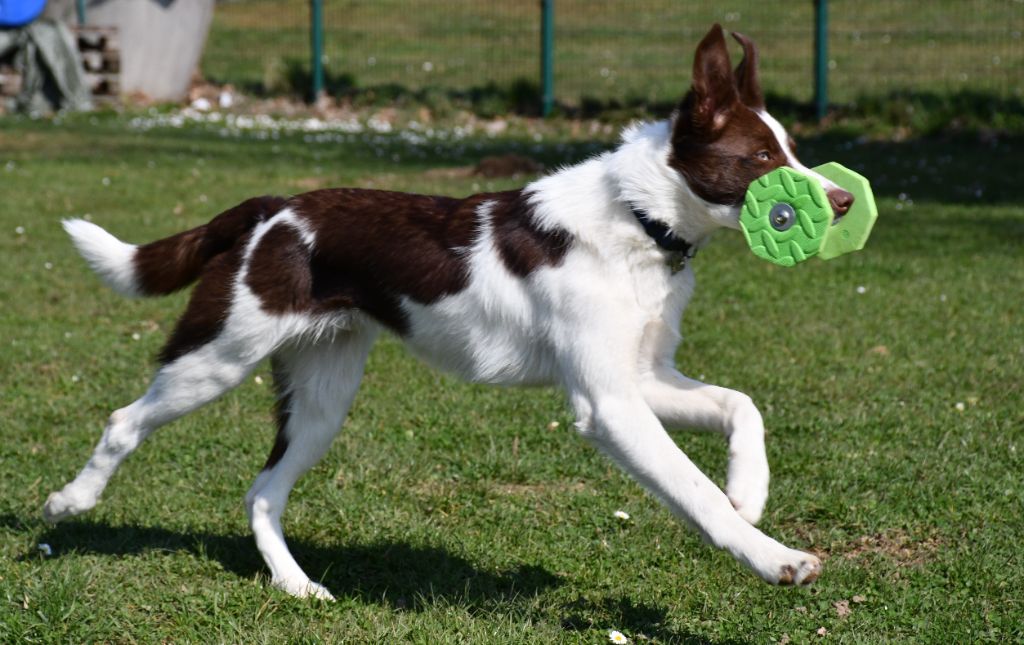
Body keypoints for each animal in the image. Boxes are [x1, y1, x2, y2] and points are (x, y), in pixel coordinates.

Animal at [44, 25, 851, 602]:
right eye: (759, 158)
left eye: (792, 150)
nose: (843, 201)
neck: (639, 219)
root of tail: (271, 208)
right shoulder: (608, 405)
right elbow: (694, 490)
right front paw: (776, 558)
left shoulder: (642, 377)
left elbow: (741, 405)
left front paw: (751, 491)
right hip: (217, 356)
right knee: (124, 420)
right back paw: (68, 502)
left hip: (322, 395)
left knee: (263, 492)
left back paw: (296, 585)